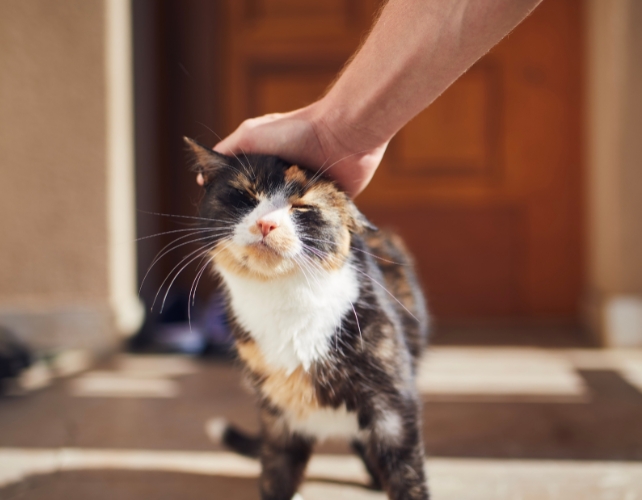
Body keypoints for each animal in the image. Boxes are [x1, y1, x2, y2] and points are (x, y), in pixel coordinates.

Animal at [182, 138, 428, 500]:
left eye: (302, 207)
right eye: (245, 195)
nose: (266, 223)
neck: (285, 302)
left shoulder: (393, 403)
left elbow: (406, 471)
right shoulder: (277, 413)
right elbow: (277, 472)